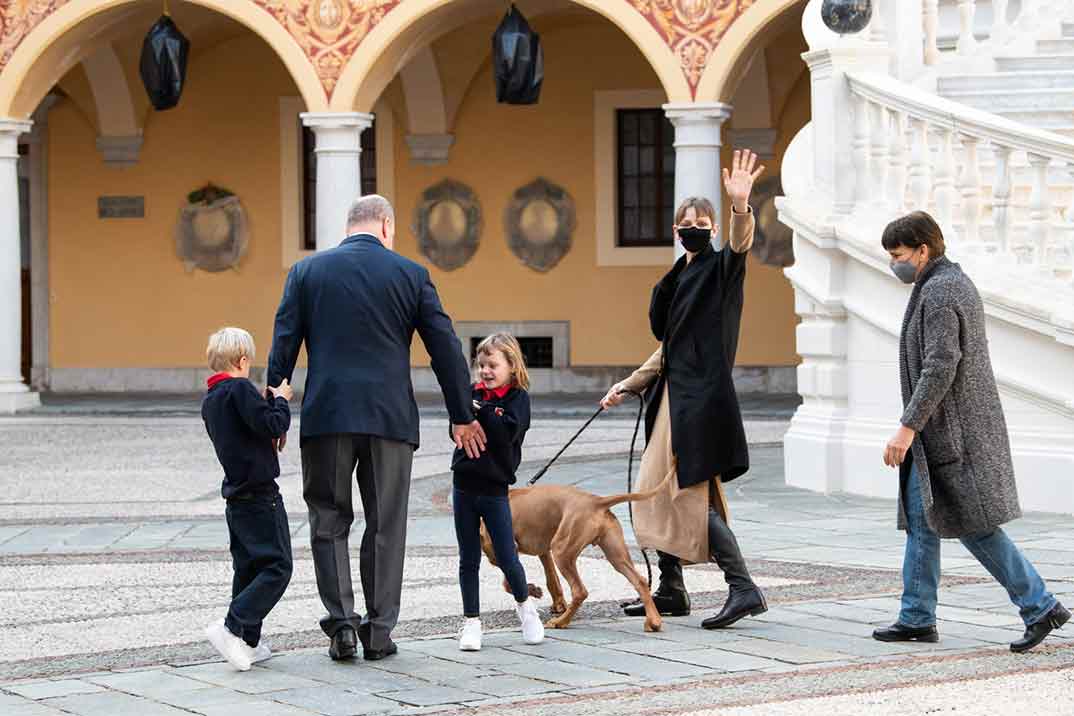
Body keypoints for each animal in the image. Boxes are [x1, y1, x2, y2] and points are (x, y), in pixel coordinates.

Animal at [481, 476, 670, 631]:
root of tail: (596, 500)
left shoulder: (504, 551)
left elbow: (507, 583)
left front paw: (531, 590)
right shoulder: (544, 551)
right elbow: (552, 581)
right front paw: (551, 600)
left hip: (562, 551)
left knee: (580, 591)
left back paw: (560, 622)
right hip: (615, 554)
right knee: (640, 581)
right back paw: (654, 622)